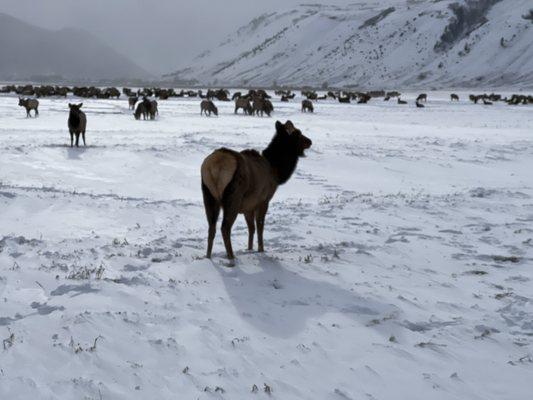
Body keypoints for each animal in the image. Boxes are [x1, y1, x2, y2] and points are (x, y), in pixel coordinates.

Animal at [201, 120, 312, 260]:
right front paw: (261, 250)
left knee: (212, 227)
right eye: (298, 133)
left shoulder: (249, 205)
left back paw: (208, 256)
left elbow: (251, 228)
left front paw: (249, 249)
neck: (276, 171)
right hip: (233, 196)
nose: (310, 141)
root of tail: (215, 166)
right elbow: (260, 226)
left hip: (208, 195)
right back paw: (231, 257)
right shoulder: (264, 200)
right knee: (225, 228)